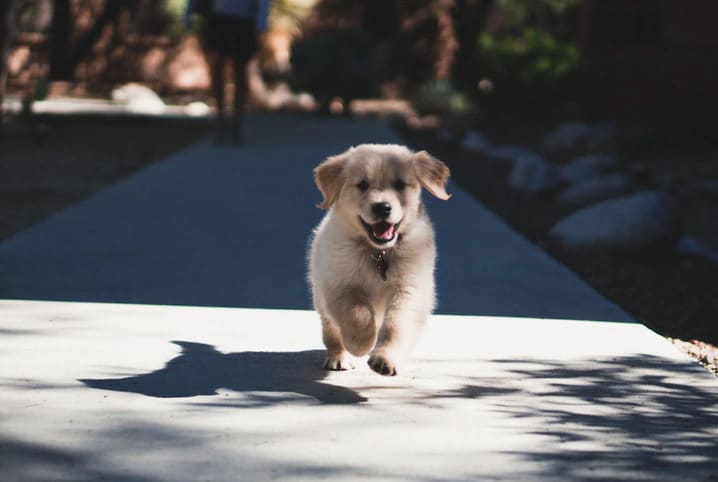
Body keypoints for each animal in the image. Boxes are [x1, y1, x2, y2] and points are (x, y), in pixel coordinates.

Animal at [308, 144, 450, 376]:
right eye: (362, 185)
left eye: (399, 184)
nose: (382, 207)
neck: (378, 253)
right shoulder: (339, 284)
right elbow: (358, 313)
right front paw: (361, 343)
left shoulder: (409, 288)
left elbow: (396, 325)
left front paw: (385, 358)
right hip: (320, 295)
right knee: (331, 330)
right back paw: (339, 356)